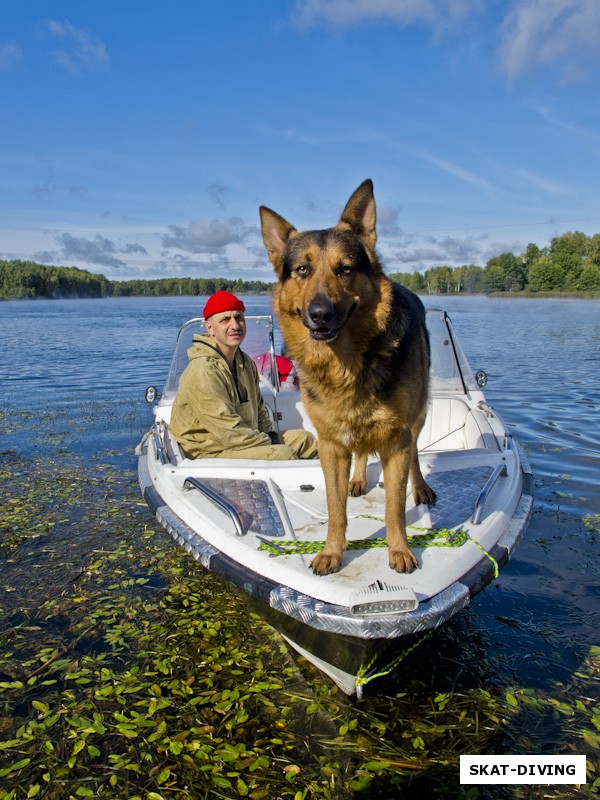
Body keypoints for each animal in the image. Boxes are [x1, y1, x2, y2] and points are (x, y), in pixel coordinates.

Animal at [258, 180, 436, 576]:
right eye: (303, 269)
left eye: (345, 269)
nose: (320, 314)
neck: (346, 365)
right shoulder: (331, 446)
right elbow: (335, 508)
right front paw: (332, 553)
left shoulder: (397, 442)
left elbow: (394, 507)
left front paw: (399, 550)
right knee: (362, 452)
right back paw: (357, 479)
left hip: (418, 418)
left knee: (417, 454)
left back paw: (420, 487)